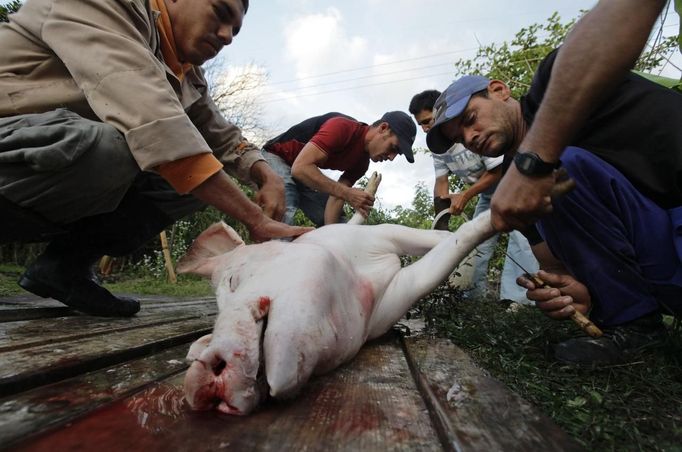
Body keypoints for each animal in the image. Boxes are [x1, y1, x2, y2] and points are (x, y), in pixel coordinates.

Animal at [177, 208, 494, 414]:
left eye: (233, 280)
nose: (198, 378)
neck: (353, 280)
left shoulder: (380, 235)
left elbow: (445, 236)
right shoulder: (400, 293)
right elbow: (441, 257)